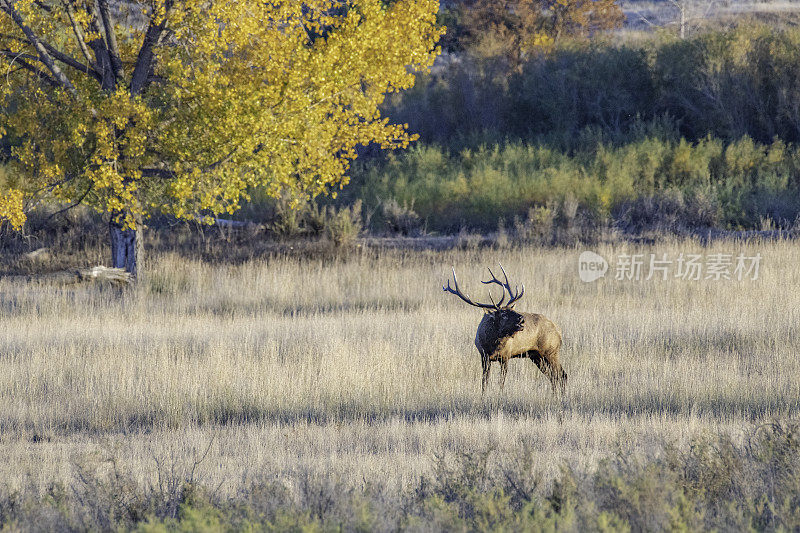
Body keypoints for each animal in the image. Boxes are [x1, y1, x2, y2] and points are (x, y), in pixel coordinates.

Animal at [444, 264, 568, 392]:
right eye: (503, 314)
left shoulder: (506, 356)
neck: (492, 345)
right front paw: (484, 394)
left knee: (562, 375)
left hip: (551, 351)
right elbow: (484, 382)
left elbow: (501, 383)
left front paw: (500, 394)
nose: (521, 318)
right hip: (536, 355)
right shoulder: (484, 356)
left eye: (512, 310)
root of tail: (558, 331)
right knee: (554, 377)